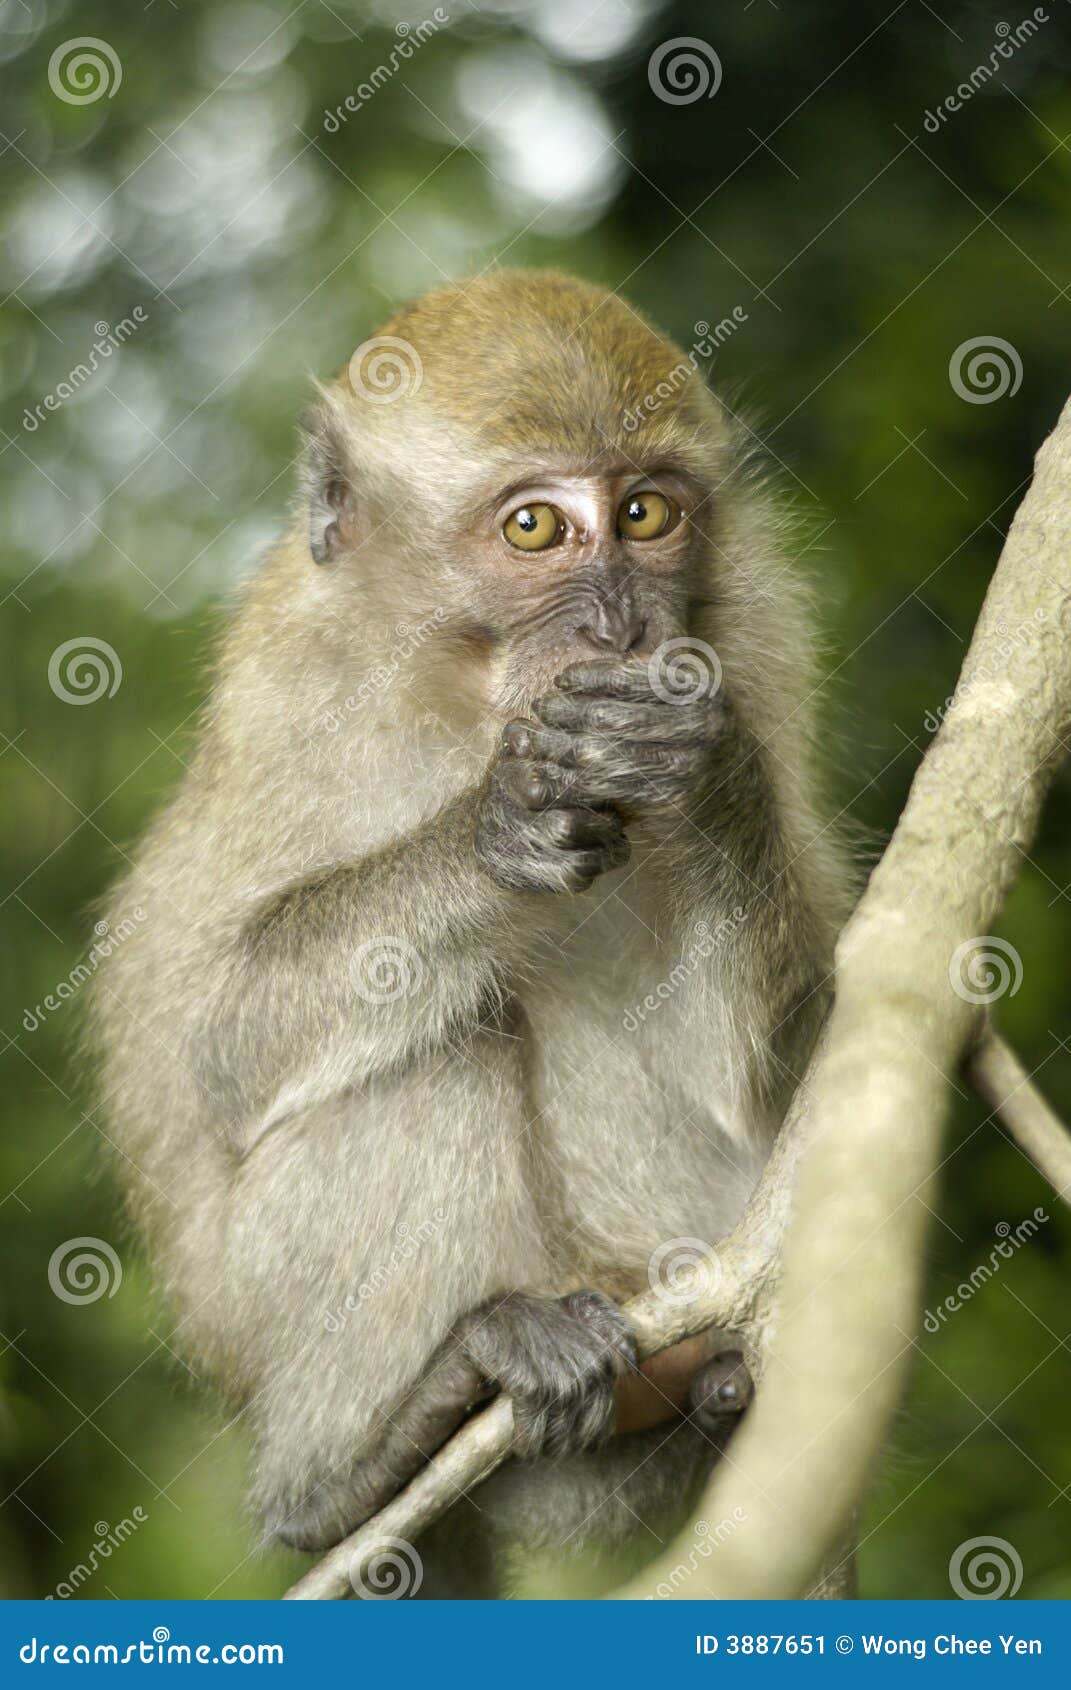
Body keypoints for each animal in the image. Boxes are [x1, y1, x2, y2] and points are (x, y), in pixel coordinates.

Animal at [93, 268, 848, 1598]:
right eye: (536, 528)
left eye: (645, 512)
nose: (621, 628)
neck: (467, 693)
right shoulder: (294, 683)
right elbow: (217, 1044)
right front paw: (497, 830)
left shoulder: (758, 629)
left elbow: (766, 1067)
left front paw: (699, 758)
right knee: (433, 1048)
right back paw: (364, 1463)